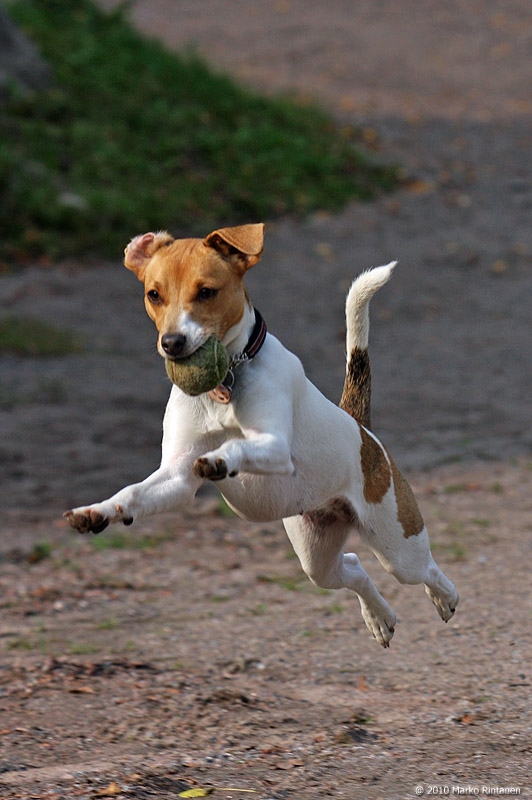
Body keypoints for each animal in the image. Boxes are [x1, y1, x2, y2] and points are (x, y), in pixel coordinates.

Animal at [66, 222, 458, 648]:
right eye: (154, 294)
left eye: (207, 292)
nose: (172, 343)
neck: (225, 383)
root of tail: (360, 427)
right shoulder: (176, 477)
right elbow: (133, 494)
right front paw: (97, 511)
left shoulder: (275, 447)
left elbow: (238, 445)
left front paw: (221, 458)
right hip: (317, 555)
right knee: (354, 568)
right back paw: (379, 618)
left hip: (398, 547)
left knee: (426, 570)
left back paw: (444, 597)